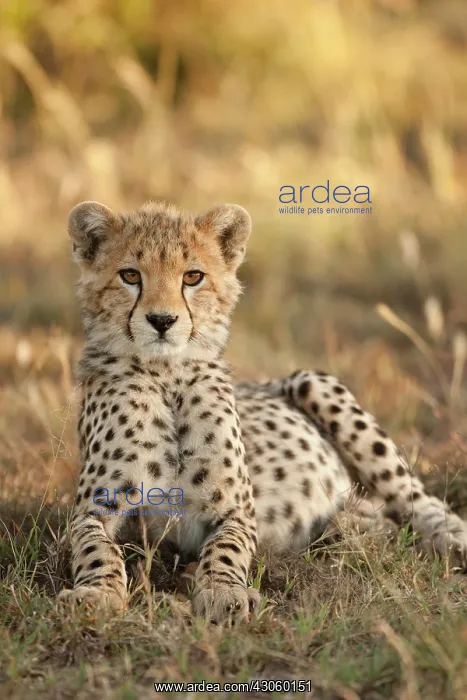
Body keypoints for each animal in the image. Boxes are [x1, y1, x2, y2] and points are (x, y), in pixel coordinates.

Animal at [58, 199, 467, 623]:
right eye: (129, 275)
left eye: (193, 276)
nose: (162, 320)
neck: (166, 374)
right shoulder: (94, 507)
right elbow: (95, 547)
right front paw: (97, 593)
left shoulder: (236, 508)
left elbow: (226, 549)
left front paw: (223, 592)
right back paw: (352, 523)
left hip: (315, 382)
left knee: (417, 498)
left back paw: (450, 539)